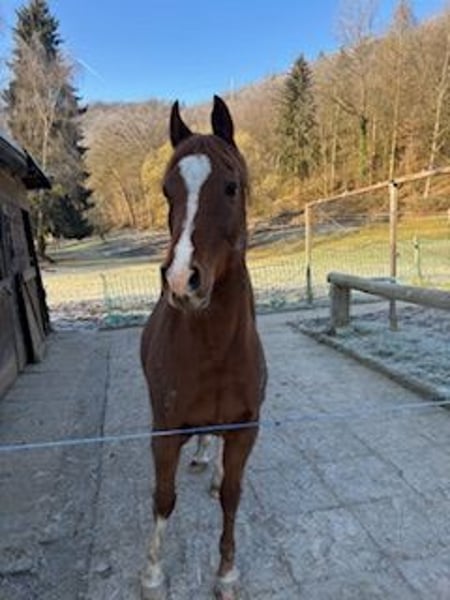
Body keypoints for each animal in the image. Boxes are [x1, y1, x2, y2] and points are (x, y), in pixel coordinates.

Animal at [140, 95, 267, 599]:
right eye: (166, 191)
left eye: (231, 187)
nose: (181, 281)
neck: (213, 348)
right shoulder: (164, 429)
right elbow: (163, 497)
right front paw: (153, 575)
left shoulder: (246, 426)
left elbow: (232, 496)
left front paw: (226, 573)